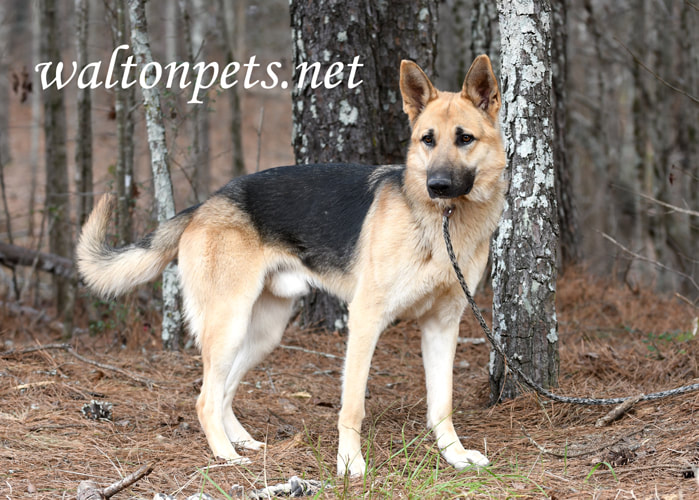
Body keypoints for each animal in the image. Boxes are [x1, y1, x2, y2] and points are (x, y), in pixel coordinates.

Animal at [76, 54, 506, 476]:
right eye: (427, 140)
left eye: (464, 138)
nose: (437, 186)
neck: (443, 221)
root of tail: (205, 203)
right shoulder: (366, 318)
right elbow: (353, 405)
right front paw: (349, 463)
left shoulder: (442, 326)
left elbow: (442, 405)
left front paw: (454, 455)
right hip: (229, 324)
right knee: (204, 398)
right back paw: (226, 455)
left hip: (262, 333)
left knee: (224, 391)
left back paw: (242, 441)